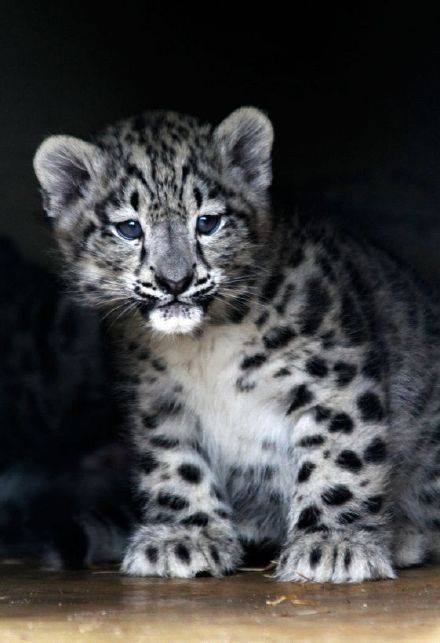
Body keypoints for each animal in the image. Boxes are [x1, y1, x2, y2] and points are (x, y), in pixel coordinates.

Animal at [33, 107, 440, 582]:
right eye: (129, 228)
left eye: (208, 221)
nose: (175, 281)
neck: (201, 346)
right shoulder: (160, 401)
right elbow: (177, 465)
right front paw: (185, 539)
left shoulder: (332, 377)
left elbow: (337, 458)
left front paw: (332, 547)